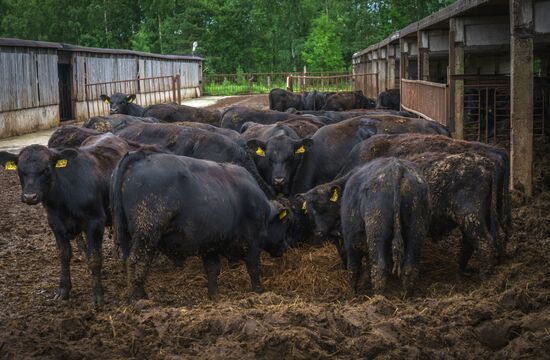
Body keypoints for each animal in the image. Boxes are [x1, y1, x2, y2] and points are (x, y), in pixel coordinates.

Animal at [0, 134, 132, 308]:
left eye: (46, 169)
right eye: (20, 170)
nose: (29, 197)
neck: (63, 197)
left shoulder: (95, 221)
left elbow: (95, 258)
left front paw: (98, 296)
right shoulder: (55, 223)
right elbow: (64, 255)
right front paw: (63, 290)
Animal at [111, 149, 294, 298]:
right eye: (285, 224)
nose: (285, 246)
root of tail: (140, 157)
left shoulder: (210, 245)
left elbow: (212, 270)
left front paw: (214, 295)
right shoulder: (253, 245)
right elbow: (254, 269)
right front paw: (260, 291)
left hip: (129, 235)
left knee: (129, 261)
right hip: (147, 234)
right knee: (137, 261)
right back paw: (139, 296)